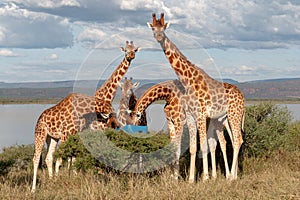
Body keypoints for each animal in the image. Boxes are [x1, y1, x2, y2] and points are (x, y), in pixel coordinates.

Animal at [31, 40, 139, 192]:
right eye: (125, 50)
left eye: (135, 49)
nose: (131, 56)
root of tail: (39, 118)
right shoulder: (70, 134)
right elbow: (64, 159)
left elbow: (73, 158)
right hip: (40, 134)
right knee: (37, 158)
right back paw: (34, 188)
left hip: (51, 137)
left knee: (48, 157)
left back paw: (52, 181)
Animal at [148, 13, 246, 180]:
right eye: (153, 28)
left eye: (164, 28)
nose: (159, 37)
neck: (188, 81)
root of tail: (243, 98)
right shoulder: (192, 116)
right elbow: (195, 147)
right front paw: (191, 179)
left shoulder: (201, 114)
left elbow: (204, 145)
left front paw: (205, 177)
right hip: (224, 118)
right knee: (233, 140)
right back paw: (231, 176)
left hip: (234, 114)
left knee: (238, 140)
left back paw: (232, 177)